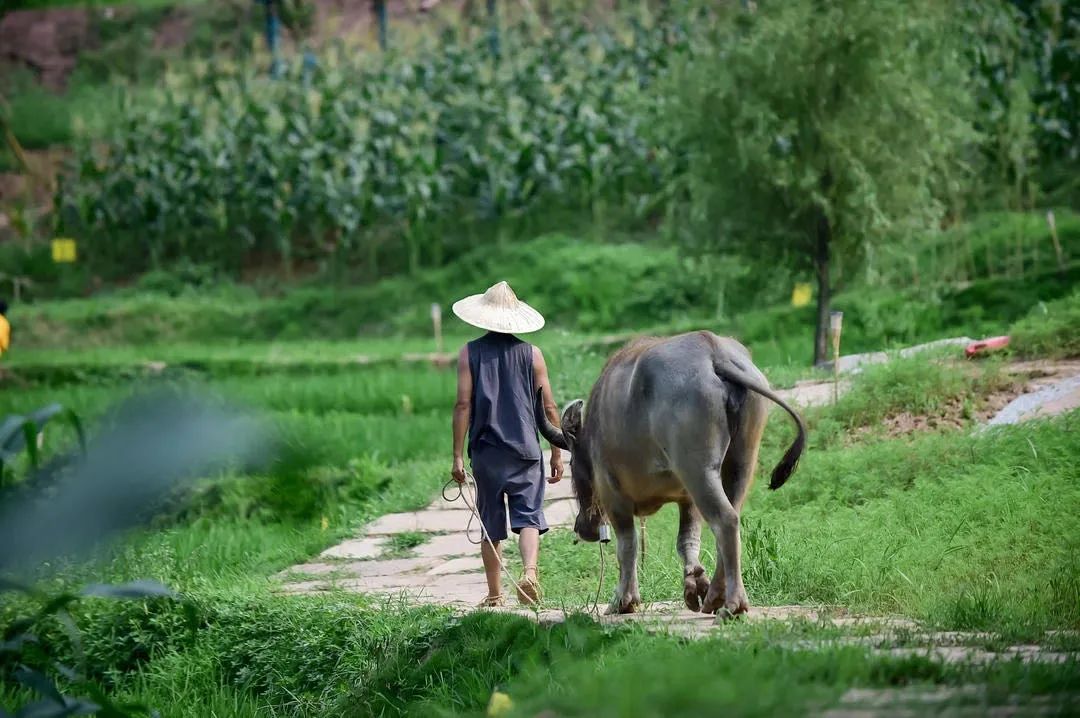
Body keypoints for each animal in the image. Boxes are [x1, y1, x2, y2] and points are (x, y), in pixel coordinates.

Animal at [535, 330, 807, 617]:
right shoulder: (686, 499)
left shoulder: (612, 493)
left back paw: (732, 604)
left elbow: (627, 544)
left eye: (574, 465)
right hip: (740, 462)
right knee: (730, 516)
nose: (582, 527)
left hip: (697, 470)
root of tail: (714, 351)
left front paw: (623, 600)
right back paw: (714, 596)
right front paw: (694, 584)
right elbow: (687, 540)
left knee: (725, 520)